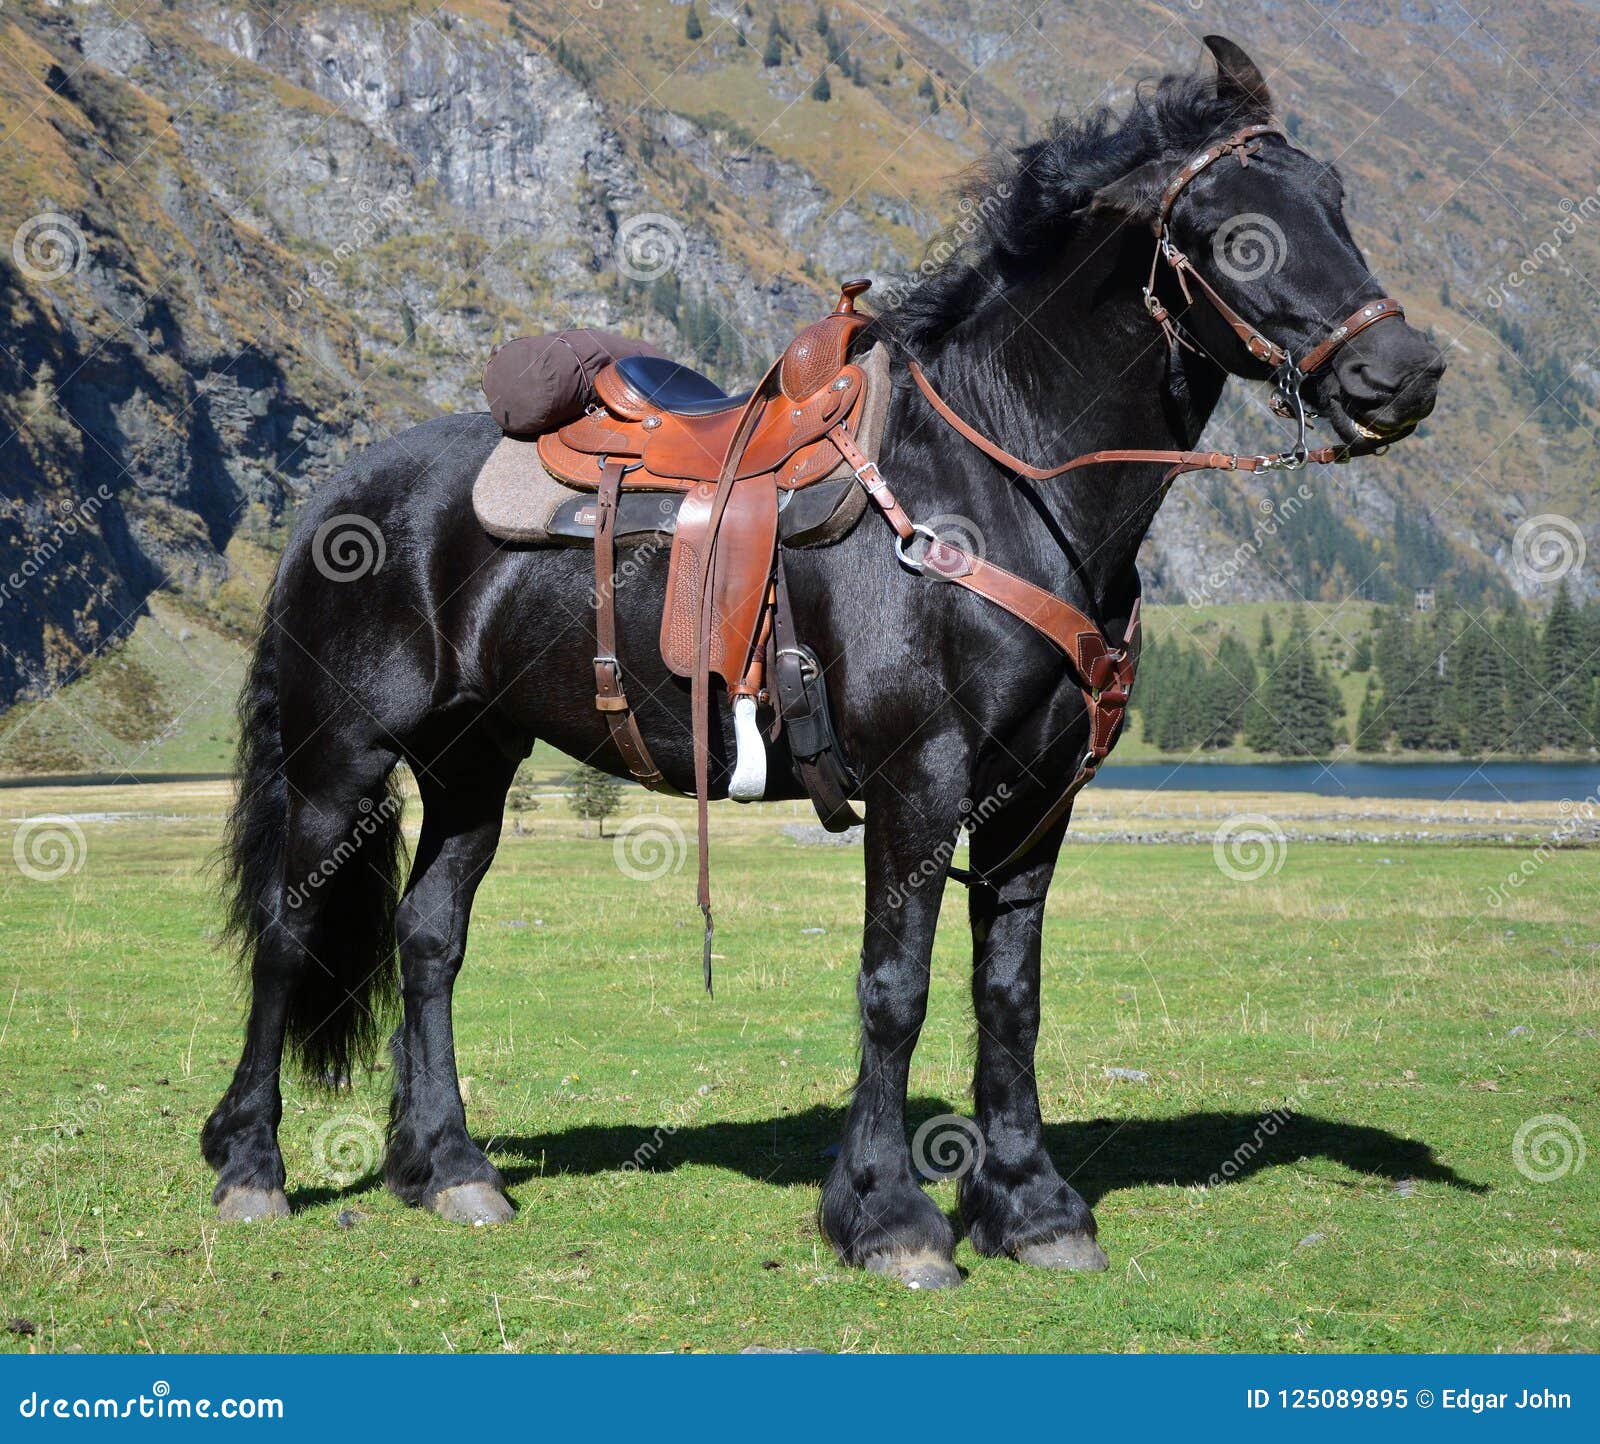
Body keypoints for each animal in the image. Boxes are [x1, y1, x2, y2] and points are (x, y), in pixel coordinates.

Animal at [200, 39, 1440, 1293]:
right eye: (1238, 234)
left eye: (1336, 199)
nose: (1404, 369)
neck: (997, 482)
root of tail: (338, 498)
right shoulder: (919, 783)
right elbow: (895, 990)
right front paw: (890, 1216)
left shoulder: (1035, 799)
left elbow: (1009, 993)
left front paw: (1032, 1205)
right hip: (340, 763)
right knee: (290, 931)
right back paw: (253, 1167)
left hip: (471, 768)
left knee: (429, 938)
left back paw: (446, 1166)